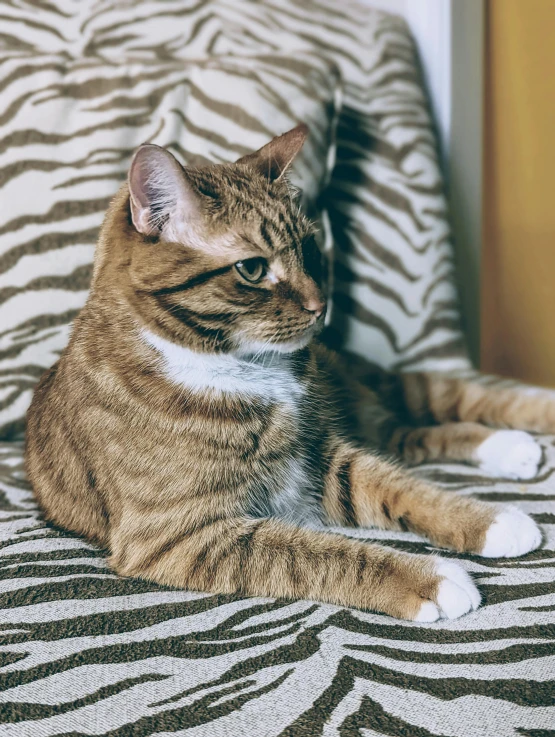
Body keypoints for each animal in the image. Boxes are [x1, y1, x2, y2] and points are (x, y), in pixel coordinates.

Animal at [26, 122, 548, 620]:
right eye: (253, 269)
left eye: (309, 250)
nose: (322, 306)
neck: (246, 371)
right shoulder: (182, 536)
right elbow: (319, 554)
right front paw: (432, 579)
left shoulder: (322, 457)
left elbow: (407, 489)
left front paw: (493, 521)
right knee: (408, 436)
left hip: (369, 387)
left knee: (441, 403)